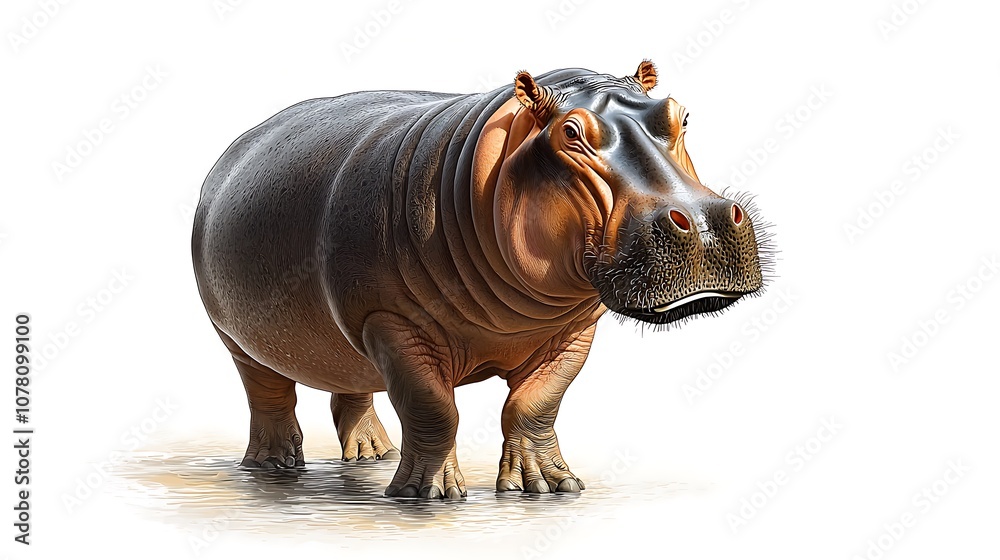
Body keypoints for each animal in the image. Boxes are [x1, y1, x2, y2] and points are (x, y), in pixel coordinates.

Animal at [192, 61, 768, 499]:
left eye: (681, 115)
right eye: (571, 133)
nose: (705, 223)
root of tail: (235, 147)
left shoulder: (574, 330)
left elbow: (535, 404)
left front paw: (551, 487)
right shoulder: (390, 323)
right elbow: (433, 409)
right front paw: (428, 494)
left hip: (341, 338)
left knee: (349, 385)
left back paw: (373, 454)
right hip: (235, 336)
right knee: (267, 392)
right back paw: (274, 465)